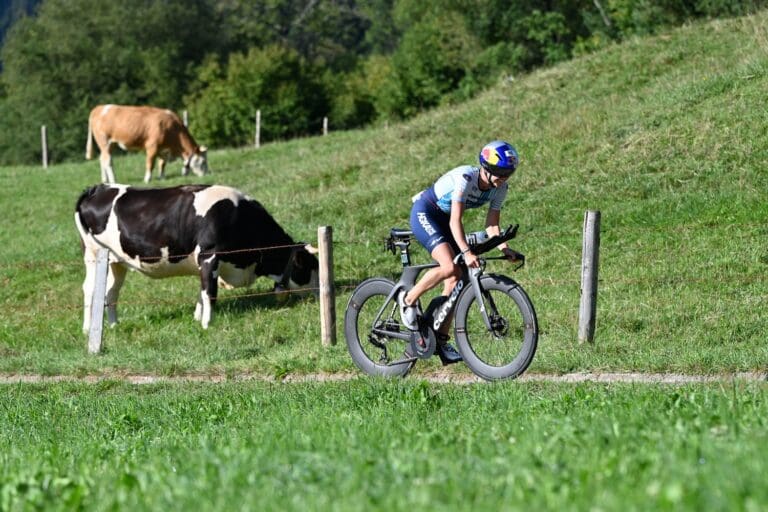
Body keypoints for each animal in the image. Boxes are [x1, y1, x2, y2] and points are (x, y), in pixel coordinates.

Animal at [73, 184, 320, 332]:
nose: (321, 293)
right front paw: (207, 324)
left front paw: (197, 317)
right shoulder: (209, 256)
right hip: (93, 254)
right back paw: (87, 329)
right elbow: (210, 292)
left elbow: (201, 292)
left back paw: (114, 325)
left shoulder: (205, 263)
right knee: (90, 289)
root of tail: (97, 188)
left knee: (111, 292)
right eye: (310, 267)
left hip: (117, 262)